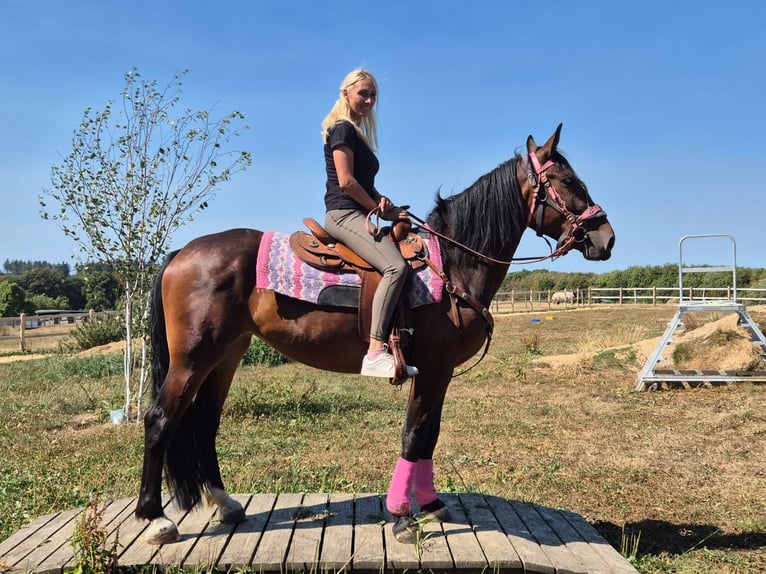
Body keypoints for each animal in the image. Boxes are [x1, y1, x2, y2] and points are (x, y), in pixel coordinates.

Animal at [135, 124, 615, 545]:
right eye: (567, 180)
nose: (606, 238)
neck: (453, 263)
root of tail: (183, 252)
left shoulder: (437, 372)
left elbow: (429, 434)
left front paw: (431, 504)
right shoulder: (432, 368)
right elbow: (414, 435)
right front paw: (402, 517)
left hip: (227, 354)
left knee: (204, 422)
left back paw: (225, 503)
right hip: (193, 358)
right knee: (160, 420)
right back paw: (156, 519)